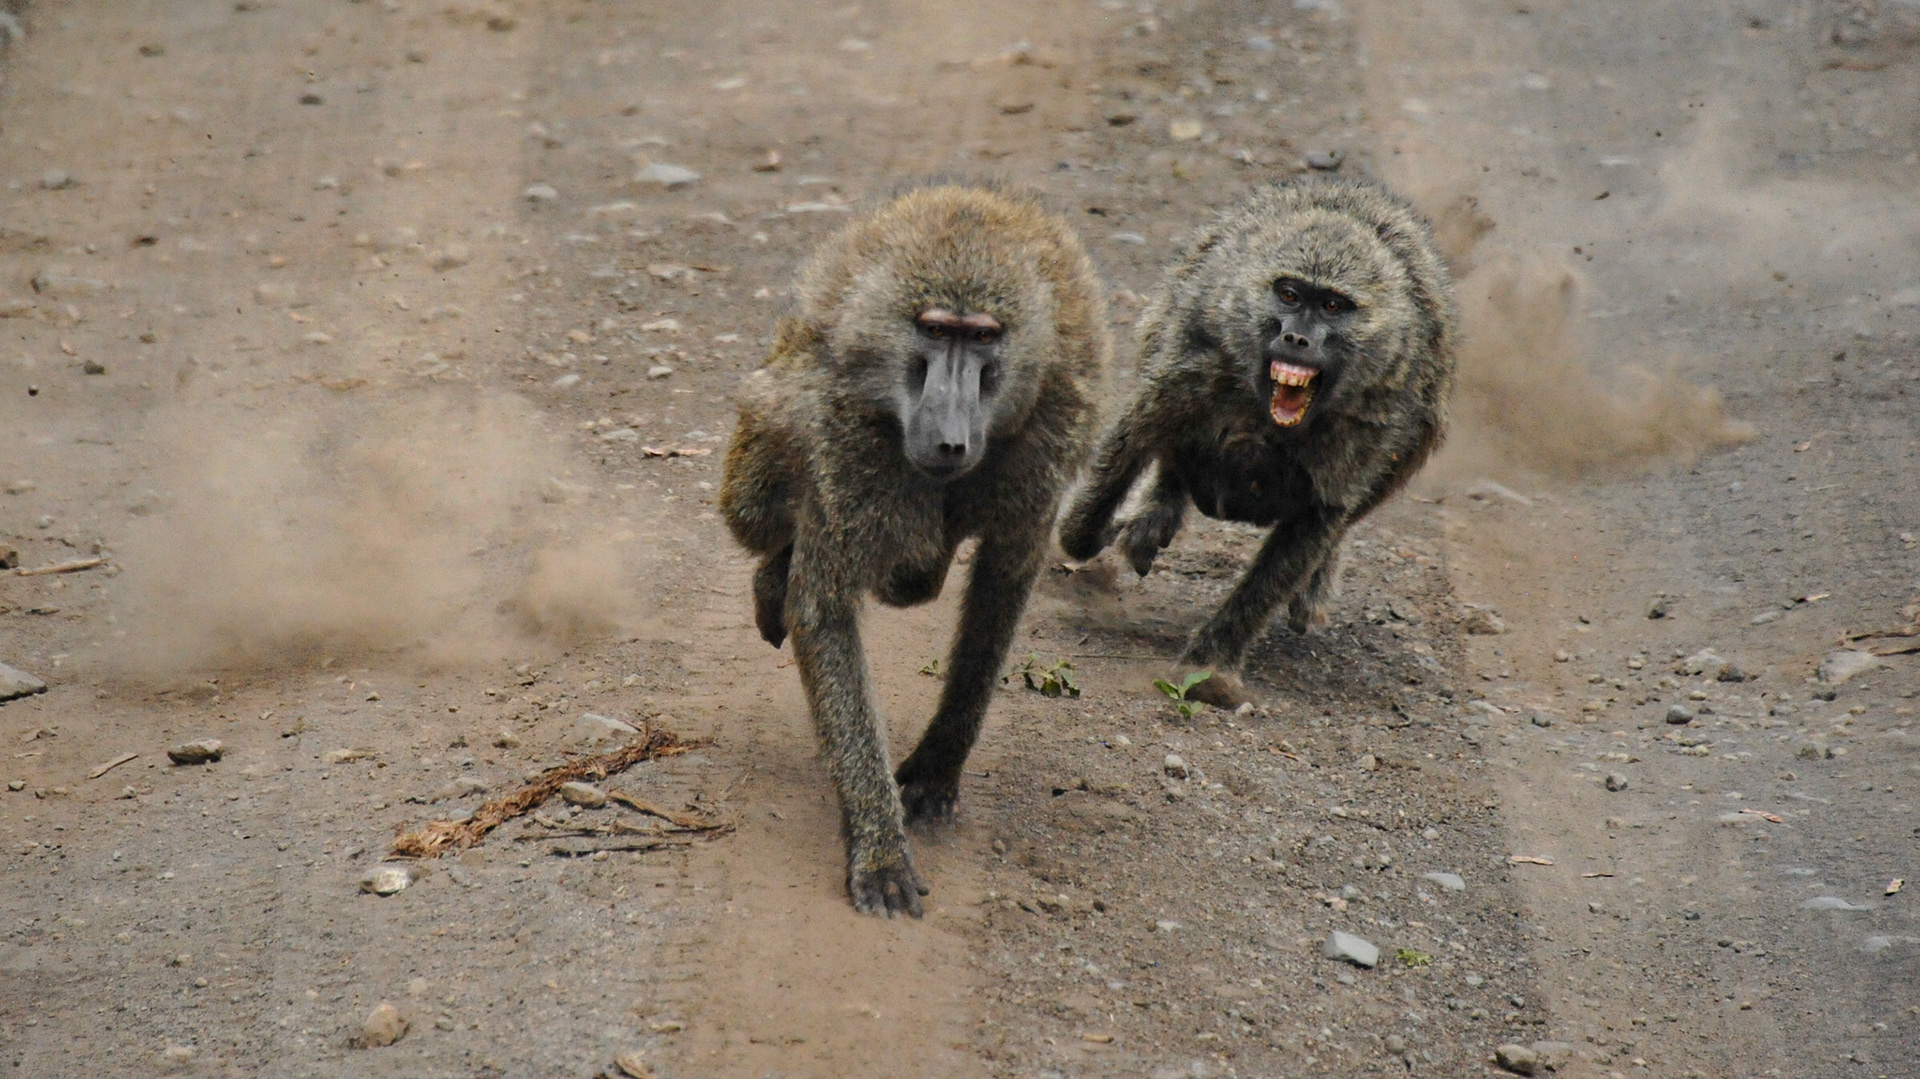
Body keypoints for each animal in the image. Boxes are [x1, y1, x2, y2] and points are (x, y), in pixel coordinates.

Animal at [719, 184, 1111, 917]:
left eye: (981, 336)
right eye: (933, 330)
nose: (949, 437)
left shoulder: (1047, 436)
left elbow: (1001, 586)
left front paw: (934, 771)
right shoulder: (843, 438)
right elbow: (823, 612)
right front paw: (879, 848)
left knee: (914, 573)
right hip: (765, 426)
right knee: (763, 512)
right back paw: (773, 579)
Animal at [1058, 176, 1455, 709]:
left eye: (1332, 306)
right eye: (1288, 295)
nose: (1297, 339)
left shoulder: (1366, 427)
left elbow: (1314, 527)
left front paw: (1212, 666)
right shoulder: (1191, 367)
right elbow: (1130, 445)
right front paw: (1093, 535)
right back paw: (1155, 513)